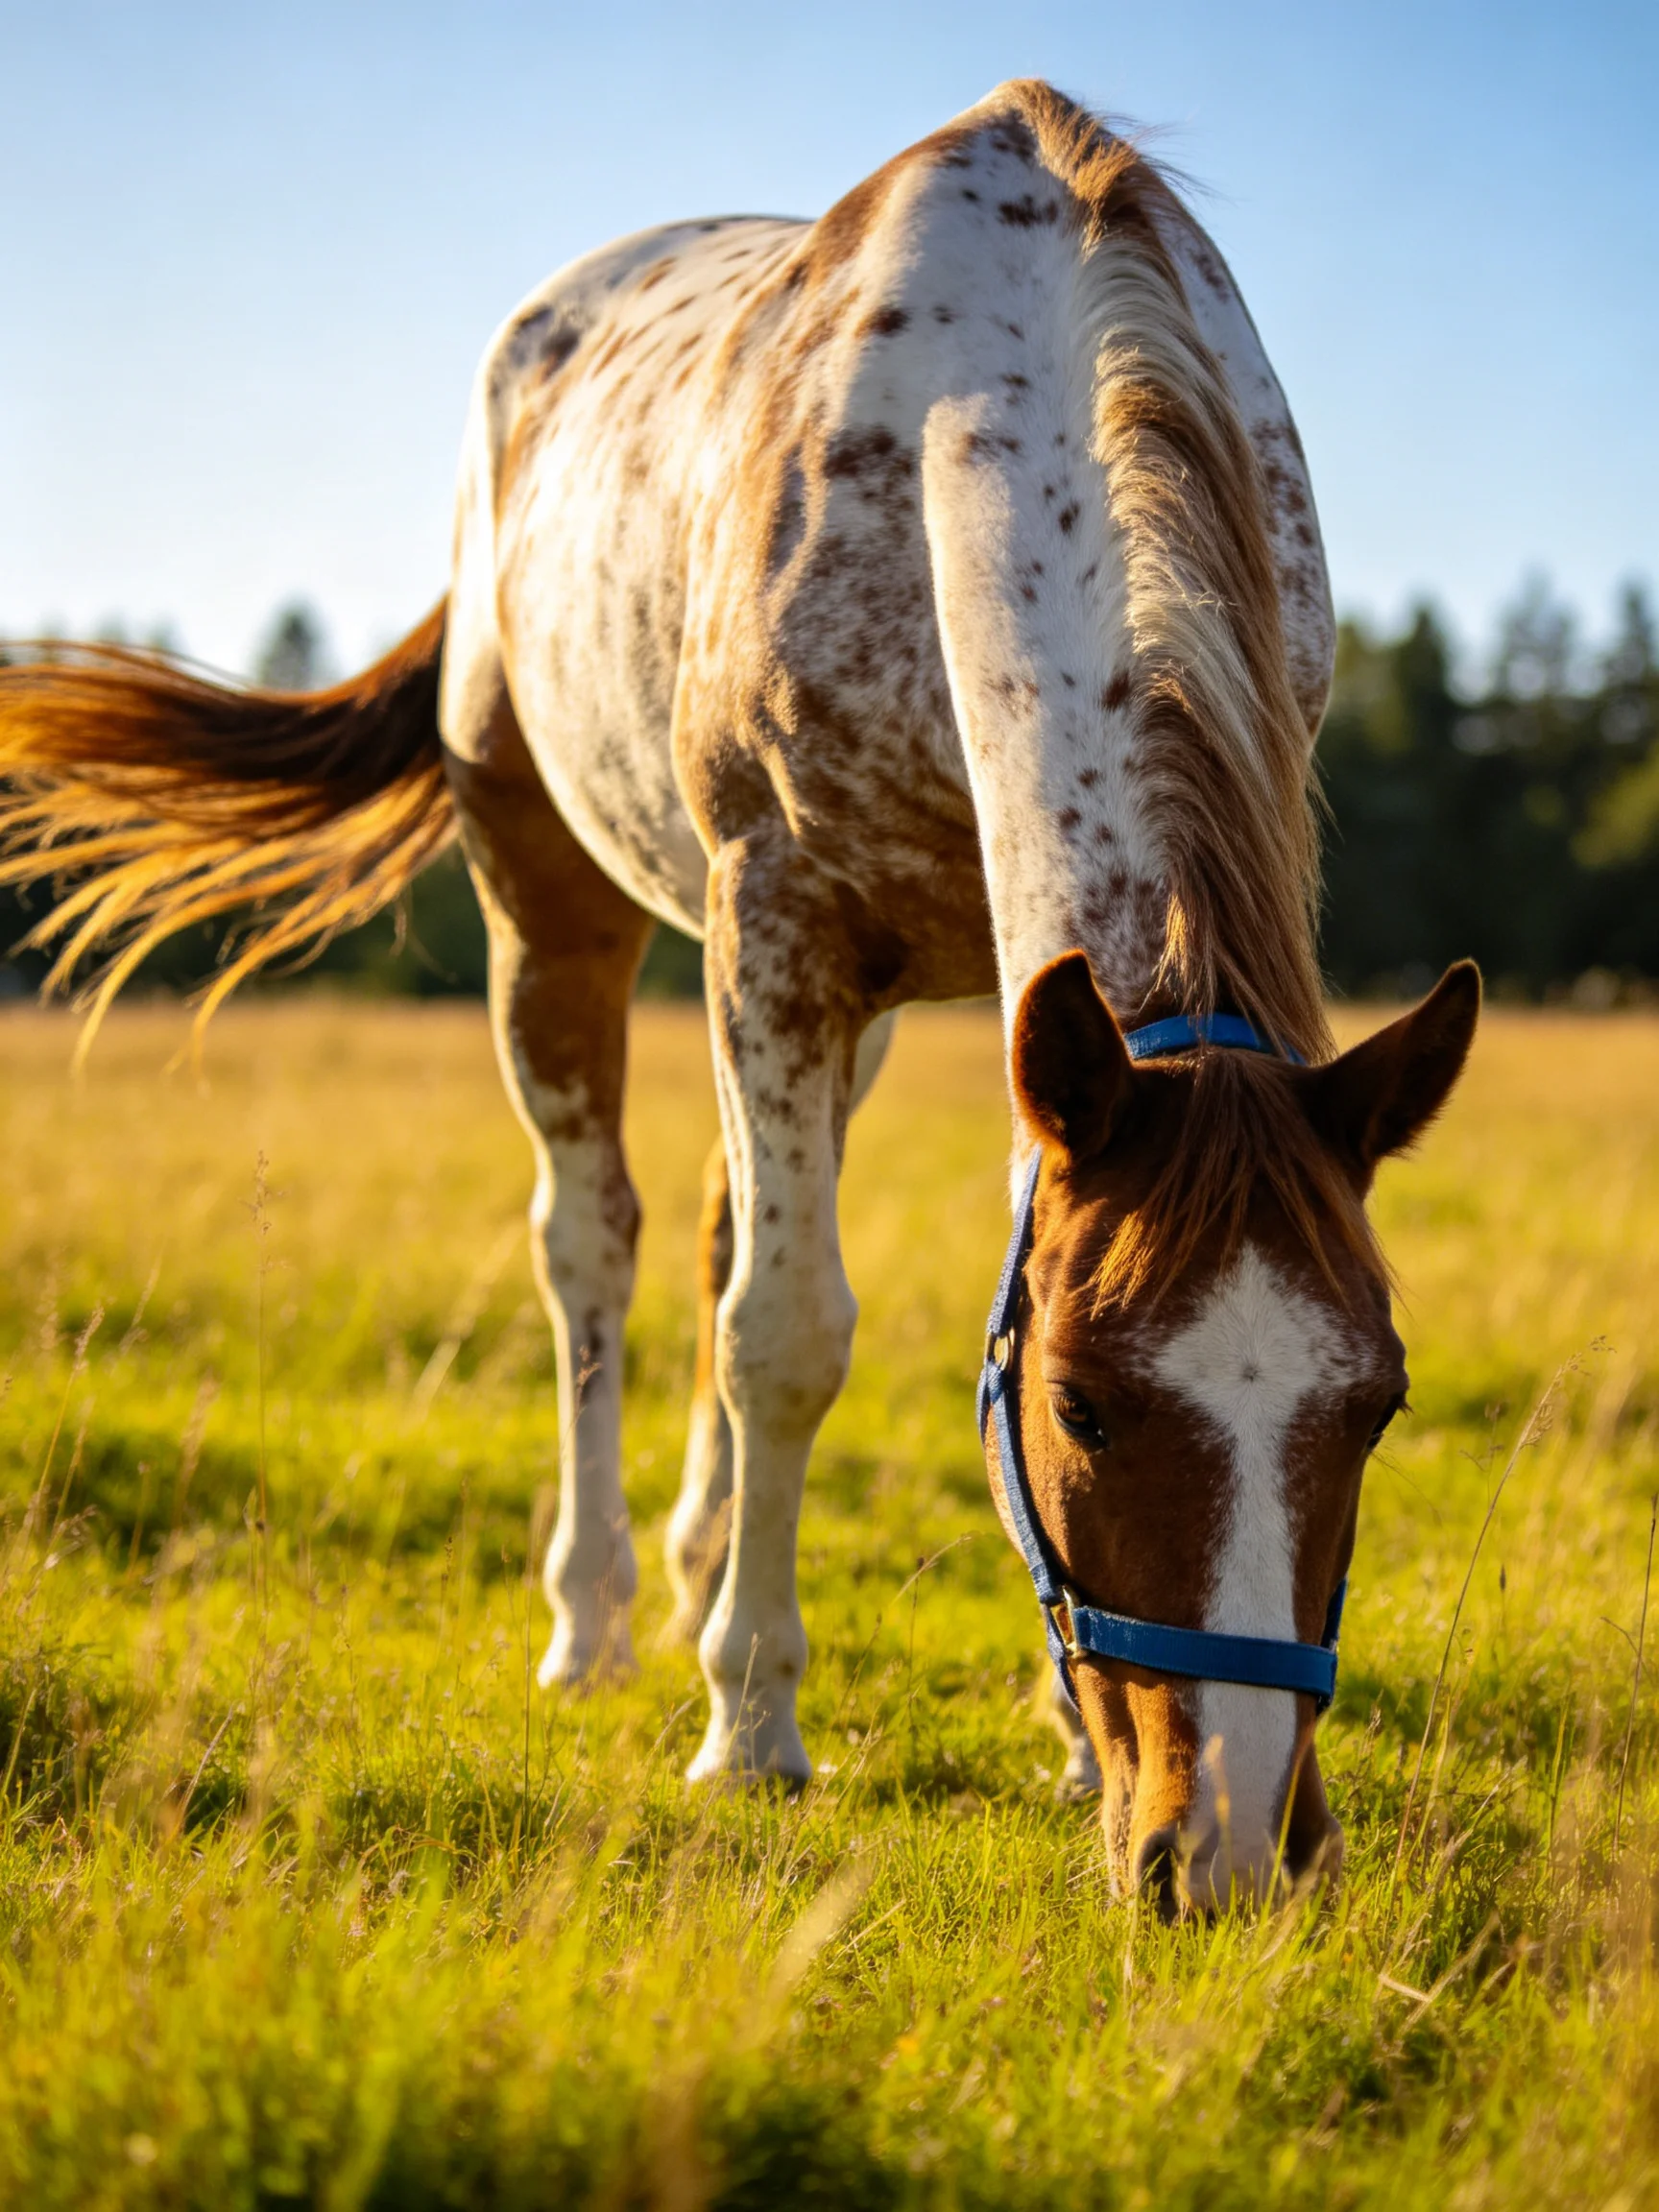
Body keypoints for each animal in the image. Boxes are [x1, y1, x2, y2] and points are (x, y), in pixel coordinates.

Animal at [0, 80, 1478, 1912]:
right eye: (1085, 1400)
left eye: (1377, 1403)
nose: (1227, 1850)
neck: (1013, 379)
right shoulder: (775, 916)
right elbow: (783, 1331)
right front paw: (753, 1723)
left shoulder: (1022, 1000)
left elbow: (868, 1282)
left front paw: (1067, 1741)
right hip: (555, 908)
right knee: (598, 1242)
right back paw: (600, 1619)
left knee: (713, 1225)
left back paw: (706, 1558)